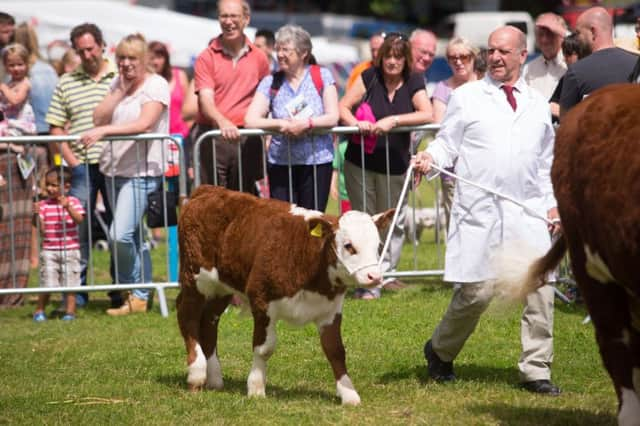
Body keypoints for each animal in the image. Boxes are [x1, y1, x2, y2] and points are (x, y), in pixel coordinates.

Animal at [178, 185, 392, 404]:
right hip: (195, 277)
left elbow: (335, 349)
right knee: (187, 314)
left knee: (208, 322)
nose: (374, 276)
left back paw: (214, 378)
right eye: (349, 246)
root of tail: (207, 190)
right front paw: (256, 388)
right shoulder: (261, 300)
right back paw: (196, 374)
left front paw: (349, 394)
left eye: (378, 245)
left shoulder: (330, 310)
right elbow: (264, 348)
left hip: (221, 288)